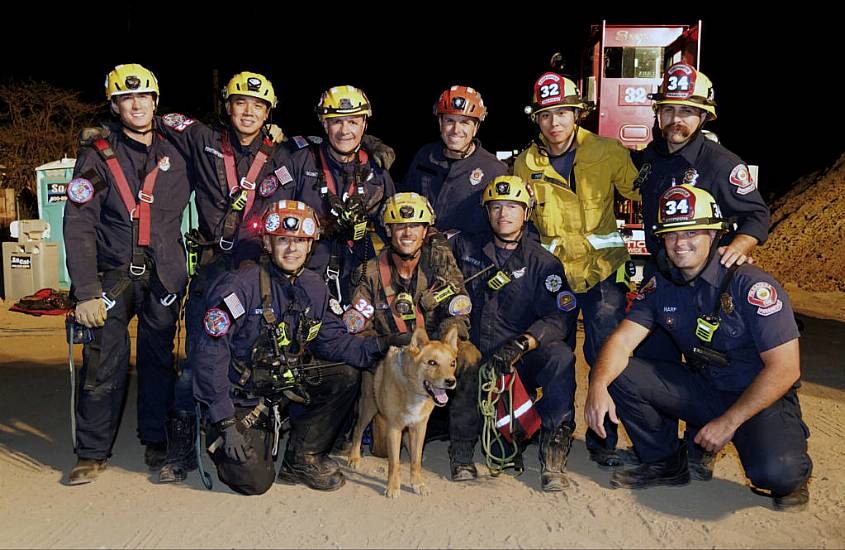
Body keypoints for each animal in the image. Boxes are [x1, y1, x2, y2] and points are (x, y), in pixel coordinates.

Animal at [346, 328, 458, 500]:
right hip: (369, 406)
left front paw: (417, 483)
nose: (451, 382)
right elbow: (394, 463)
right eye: (432, 362)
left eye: (452, 363)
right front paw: (393, 486)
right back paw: (354, 456)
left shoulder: (419, 427)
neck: (412, 389)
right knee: (358, 429)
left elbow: (416, 461)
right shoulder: (394, 429)